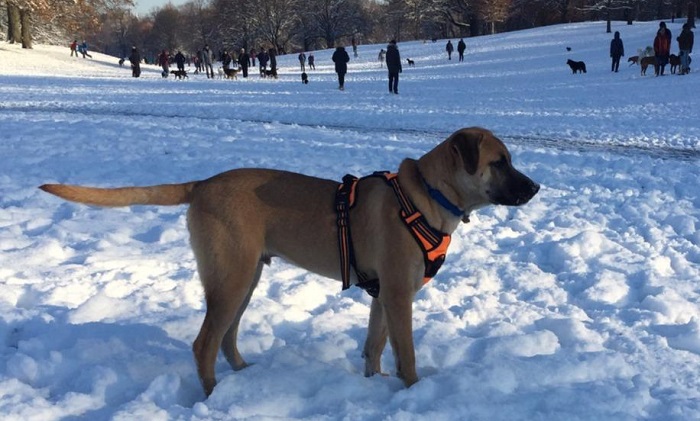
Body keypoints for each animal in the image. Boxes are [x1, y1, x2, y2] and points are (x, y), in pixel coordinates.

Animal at [39, 126, 540, 396]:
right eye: (500, 162)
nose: (535, 188)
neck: (427, 197)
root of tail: (202, 185)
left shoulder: (383, 297)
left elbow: (374, 347)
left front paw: (373, 384)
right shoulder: (400, 294)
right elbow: (408, 357)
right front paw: (414, 392)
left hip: (245, 277)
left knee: (225, 339)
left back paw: (243, 376)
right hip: (231, 277)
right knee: (204, 343)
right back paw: (214, 397)